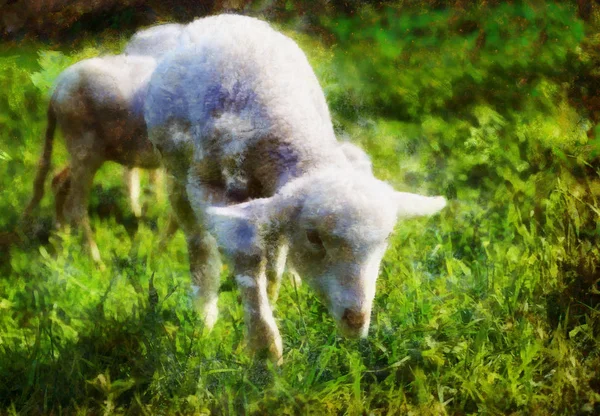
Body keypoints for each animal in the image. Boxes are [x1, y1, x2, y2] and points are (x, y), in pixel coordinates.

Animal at [144, 14, 446, 362]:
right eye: (314, 238)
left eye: (386, 239)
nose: (356, 321)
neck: (283, 127)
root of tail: (223, 17)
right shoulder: (208, 187)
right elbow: (245, 254)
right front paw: (264, 348)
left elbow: (269, 253)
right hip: (177, 174)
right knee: (199, 244)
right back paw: (204, 315)